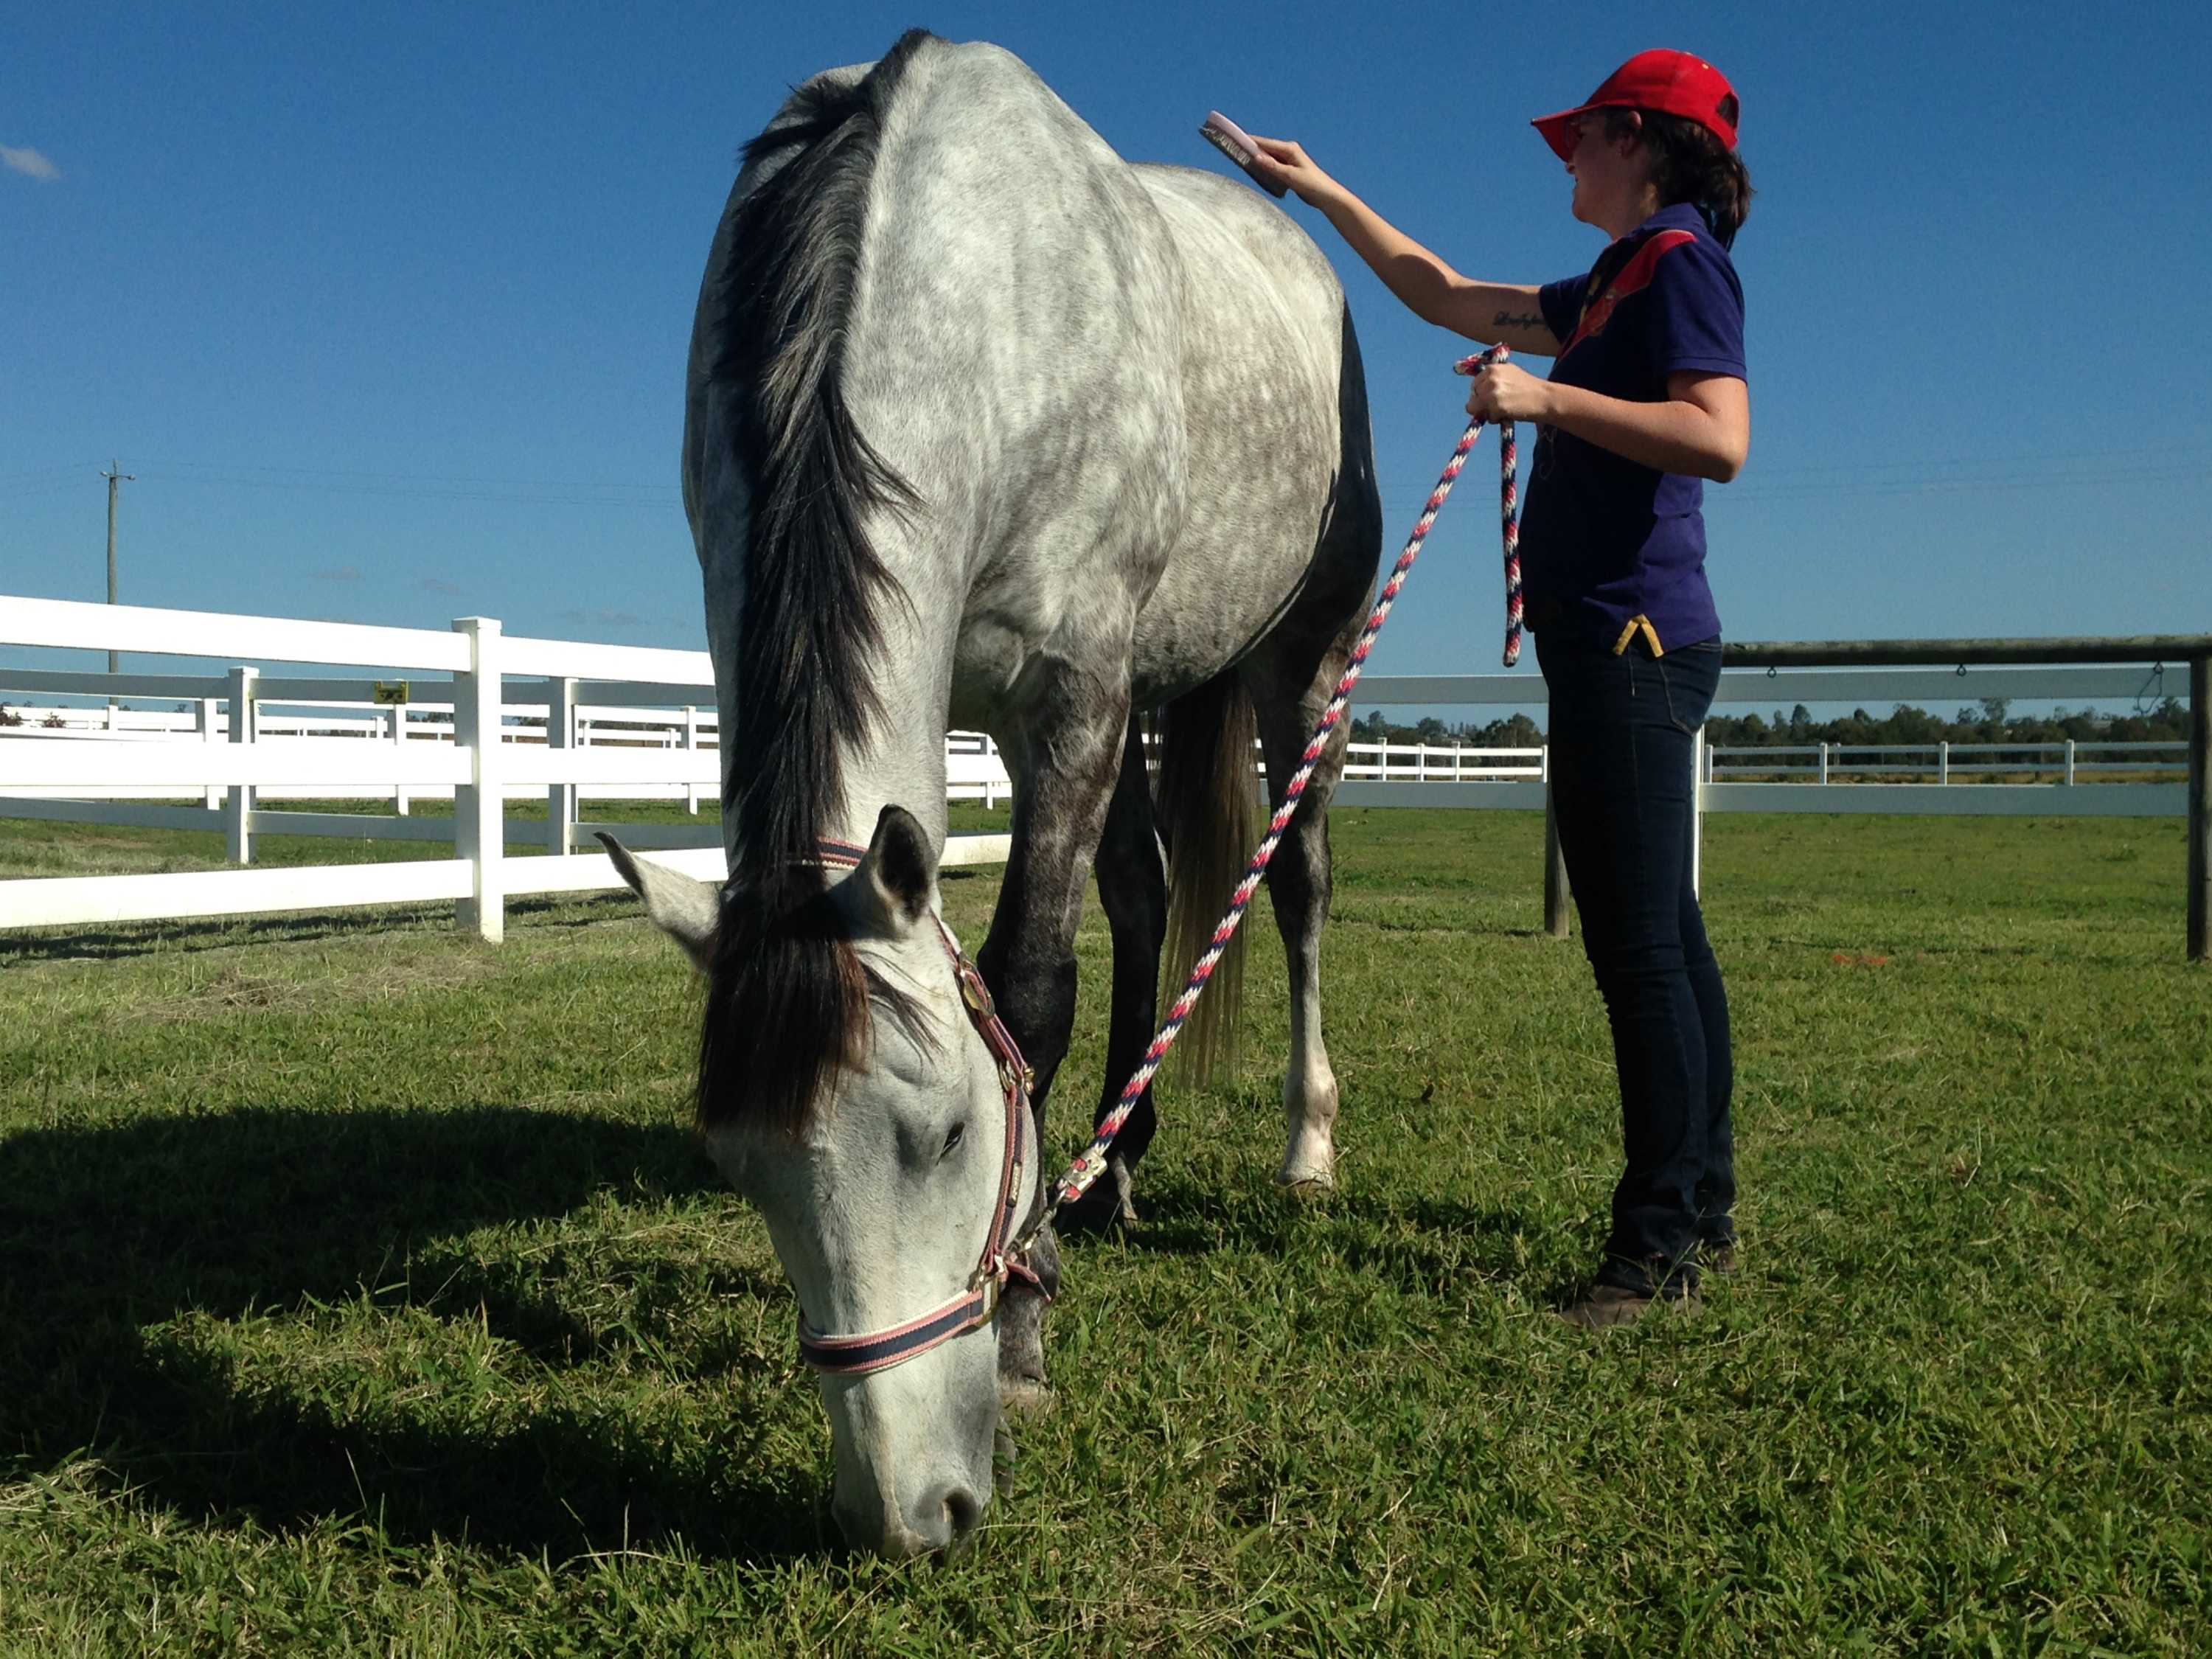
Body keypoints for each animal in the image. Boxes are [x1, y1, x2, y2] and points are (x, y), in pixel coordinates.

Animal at [602, 30, 1381, 1558]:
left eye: (948, 1135)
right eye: (738, 1162)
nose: (913, 1511)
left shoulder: (1067, 695)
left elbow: (1029, 995)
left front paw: (1022, 1332)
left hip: (1292, 671)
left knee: (1298, 890)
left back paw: (1305, 1147)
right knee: (1145, 896)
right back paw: (1121, 1163)